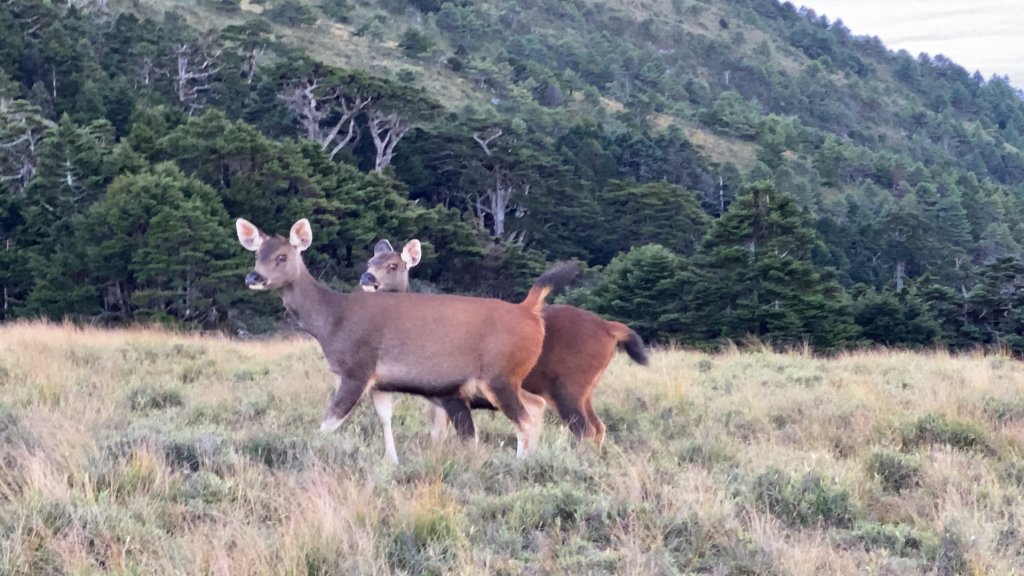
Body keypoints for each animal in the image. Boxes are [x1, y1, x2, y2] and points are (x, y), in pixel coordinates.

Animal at [235, 216, 581, 461]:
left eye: (282, 256)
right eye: (257, 254)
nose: (253, 277)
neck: (332, 321)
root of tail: (530, 313)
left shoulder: (357, 368)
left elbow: (328, 422)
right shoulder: (379, 381)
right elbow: (385, 419)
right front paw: (392, 461)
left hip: (498, 375)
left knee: (525, 418)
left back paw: (522, 463)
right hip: (509, 378)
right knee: (535, 406)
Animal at [362, 235, 647, 450]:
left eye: (393, 265)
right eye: (369, 261)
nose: (367, 278)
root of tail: (610, 329)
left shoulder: (452, 394)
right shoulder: (437, 399)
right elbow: (437, 437)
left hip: (568, 387)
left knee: (583, 430)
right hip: (585, 390)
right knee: (598, 427)